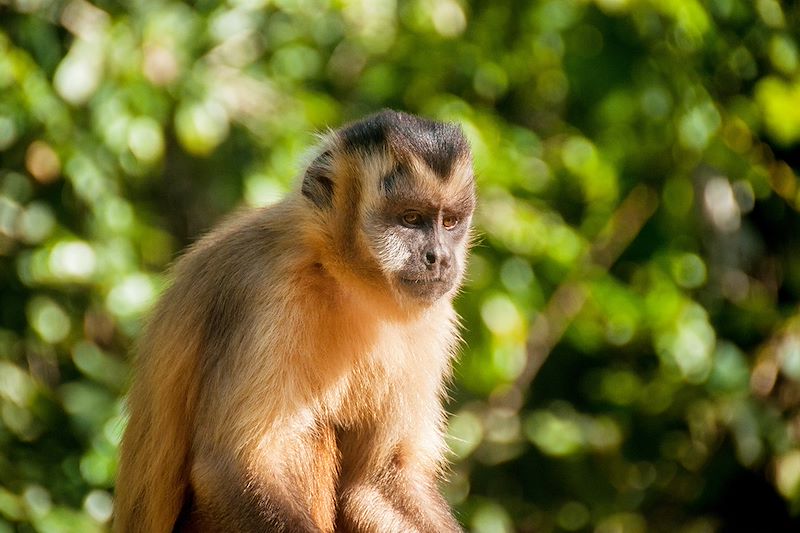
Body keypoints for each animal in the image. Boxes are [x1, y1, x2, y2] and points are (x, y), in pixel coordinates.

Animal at [112, 109, 476, 532]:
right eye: (411, 219)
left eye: (449, 222)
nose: (440, 257)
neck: (337, 274)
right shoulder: (268, 288)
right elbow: (230, 469)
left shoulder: (433, 319)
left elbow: (377, 479)